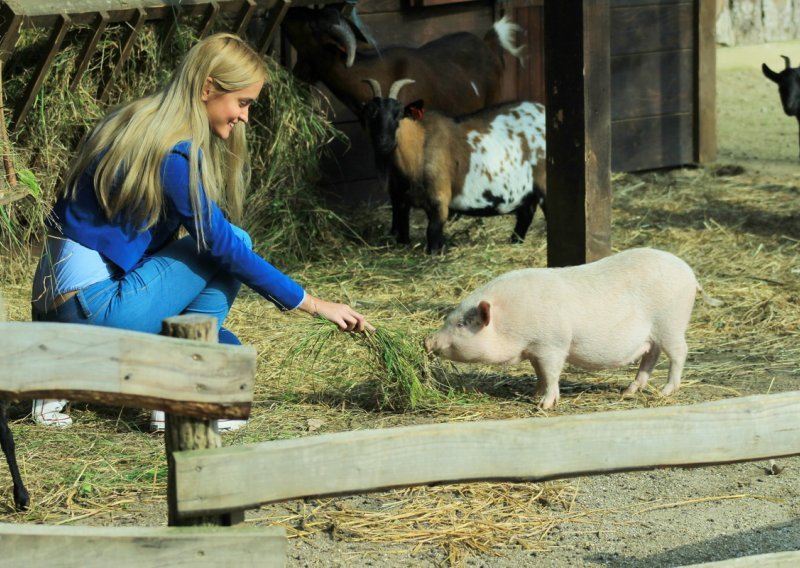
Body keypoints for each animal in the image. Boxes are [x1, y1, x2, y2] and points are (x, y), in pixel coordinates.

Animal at [360, 77, 548, 253]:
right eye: (371, 113)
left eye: (399, 114)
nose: (383, 143)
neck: (419, 148)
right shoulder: (401, 201)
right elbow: (404, 233)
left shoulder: (440, 200)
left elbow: (433, 234)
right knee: (526, 214)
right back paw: (515, 242)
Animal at [422, 248, 720, 408]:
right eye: (449, 318)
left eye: (461, 323)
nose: (426, 341)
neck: (510, 317)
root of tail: (690, 275)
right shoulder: (535, 349)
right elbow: (539, 373)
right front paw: (533, 393)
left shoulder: (552, 343)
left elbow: (552, 373)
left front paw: (544, 405)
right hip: (653, 334)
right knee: (650, 356)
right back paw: (628, 391)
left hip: (671, 323)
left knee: (679, 353)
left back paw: (665, 391)